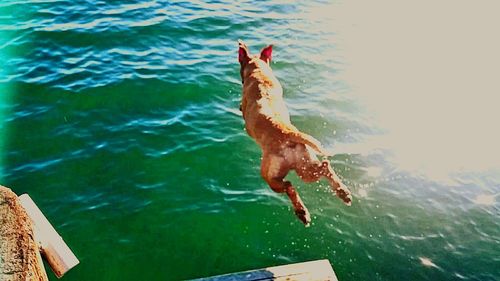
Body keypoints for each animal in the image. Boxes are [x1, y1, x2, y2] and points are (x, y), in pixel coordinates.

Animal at [237, 40, 352, 225]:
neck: (259, 72)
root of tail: (287, 133)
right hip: (305, 168)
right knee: (324, 167)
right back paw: (342, 193)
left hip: (270, 175)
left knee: (289, 185)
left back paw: (302, 212)